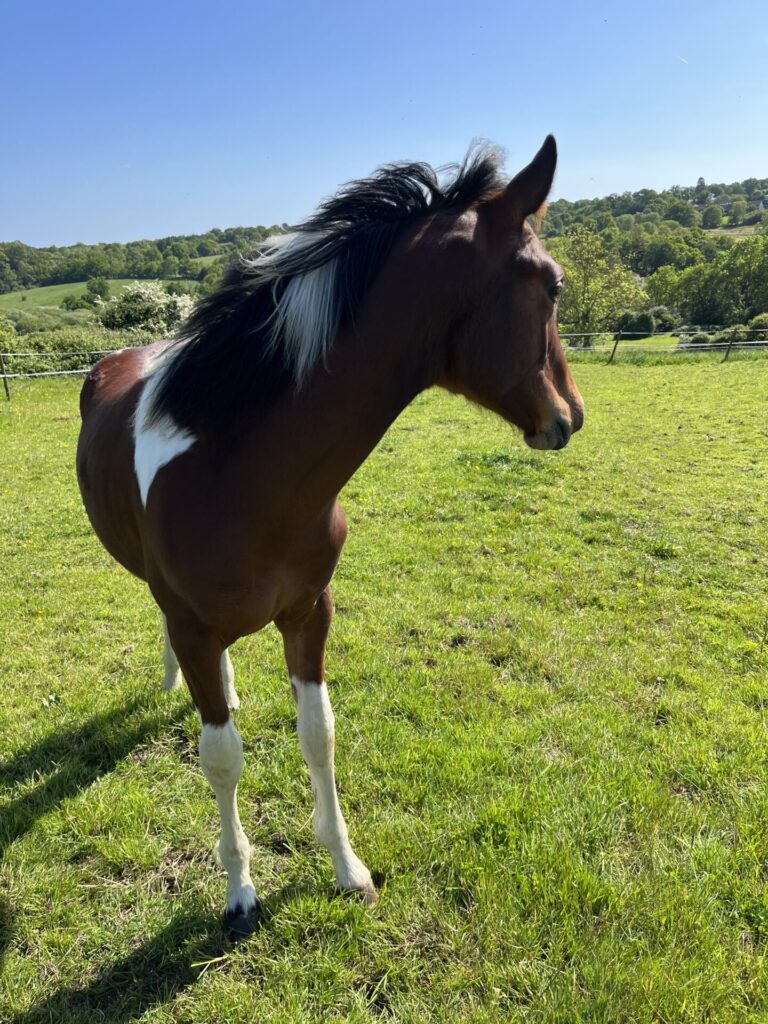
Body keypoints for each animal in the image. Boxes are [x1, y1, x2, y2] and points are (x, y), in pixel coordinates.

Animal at [76, 136, 581, 937]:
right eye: (553, 286)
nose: (571, 415)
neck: (243, 472)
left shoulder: (310, 611)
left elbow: (319, 733)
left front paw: (347, 869)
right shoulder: (193, 625)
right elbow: (221, 757)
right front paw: (240, 893)